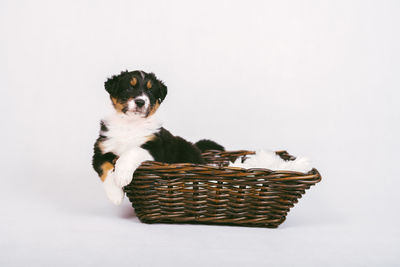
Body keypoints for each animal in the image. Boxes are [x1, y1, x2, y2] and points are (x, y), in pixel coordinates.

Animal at [92, 70, 225, 205]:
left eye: (150, 91)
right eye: (129, 87)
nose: (140, 102)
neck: (131, 124)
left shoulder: (156, 149)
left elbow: (131, 152)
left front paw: (121, 175)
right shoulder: (100, 151)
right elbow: (105, 169)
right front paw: (116, 195)